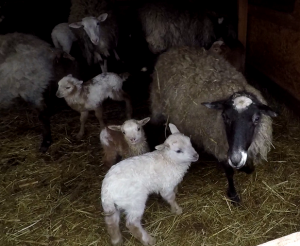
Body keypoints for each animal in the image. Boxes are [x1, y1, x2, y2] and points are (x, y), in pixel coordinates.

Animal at [150, 46, 276, 204]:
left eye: (257, 118)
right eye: (225, 116)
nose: (236, 159)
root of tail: (174, 49)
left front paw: (246, 169)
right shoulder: (220, 149)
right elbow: (229, 173)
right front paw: (233, 195)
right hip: (157, 105)